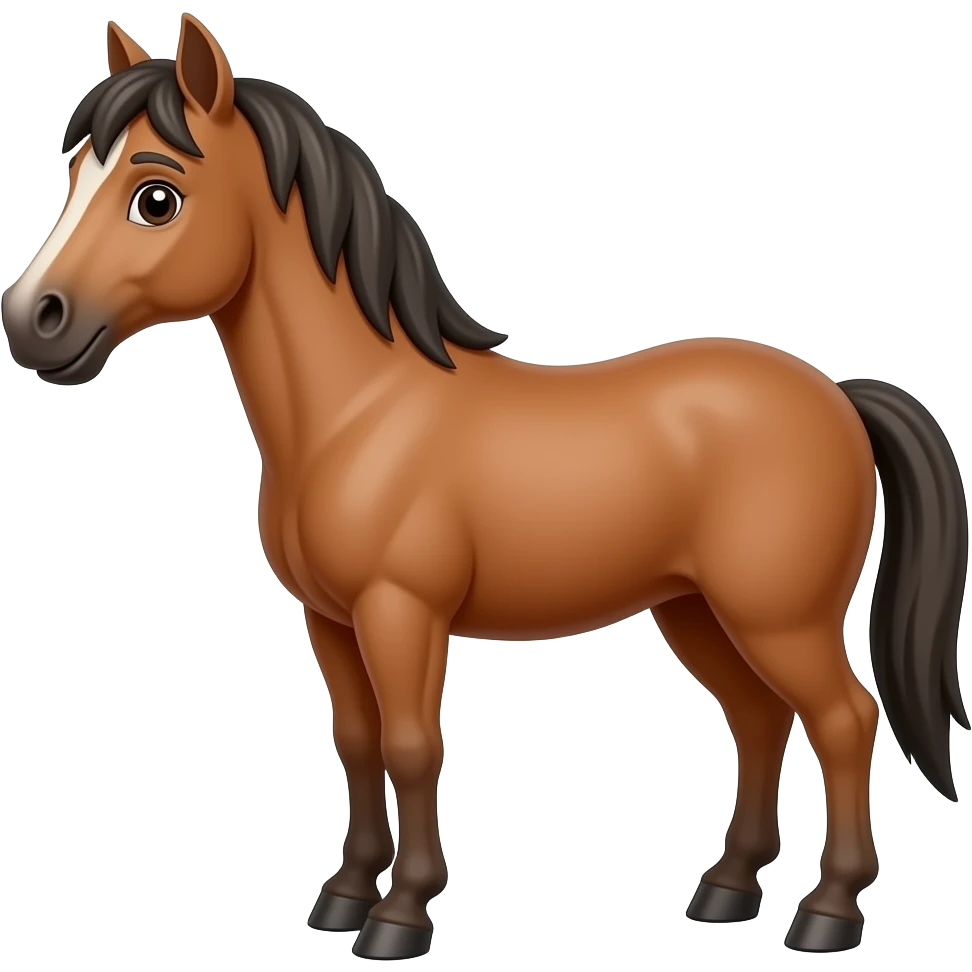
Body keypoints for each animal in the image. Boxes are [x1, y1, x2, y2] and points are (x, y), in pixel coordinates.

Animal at [2, 14, 967, 960]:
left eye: (155, 195)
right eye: (74, 175)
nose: (32, 320)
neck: (362, 411)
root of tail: (836, 396)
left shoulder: (402, 611)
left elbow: (412, 747)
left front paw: (401, 916)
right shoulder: (330, 619)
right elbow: (356, 744)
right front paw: (345, 896)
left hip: (779, 617)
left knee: (844, 720)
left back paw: (828, 911)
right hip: (697, 611)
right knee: (761, 721)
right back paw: (727, 891)